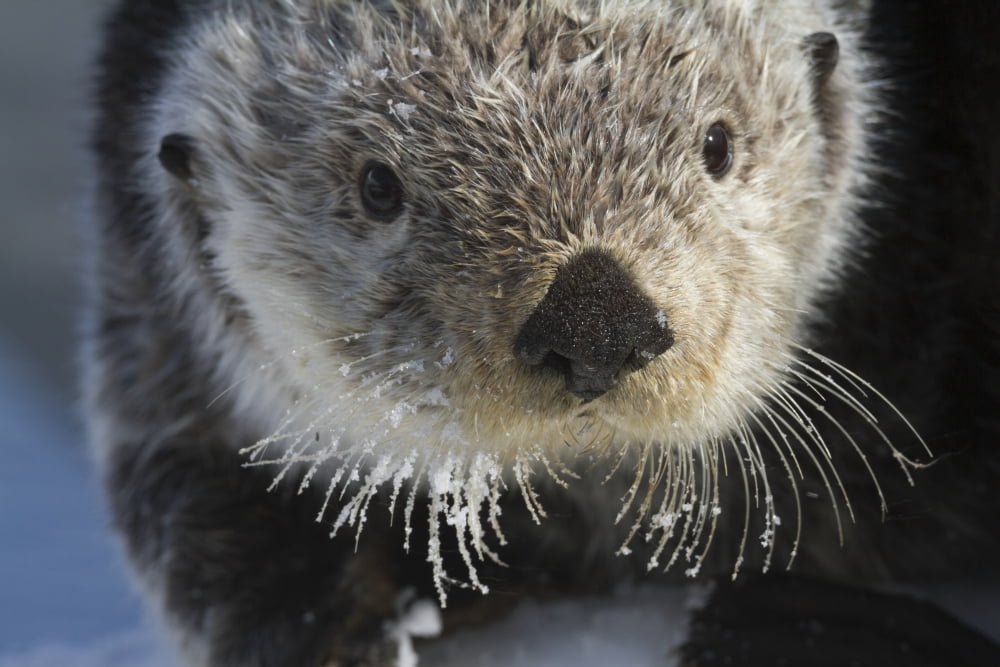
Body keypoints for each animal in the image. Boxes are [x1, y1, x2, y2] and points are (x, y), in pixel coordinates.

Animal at [83, 0, 1000, 665]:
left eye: (717, 144)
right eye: (379, 186)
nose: (596, 322)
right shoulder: (157, 342)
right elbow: (192, 486)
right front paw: (341, 624)